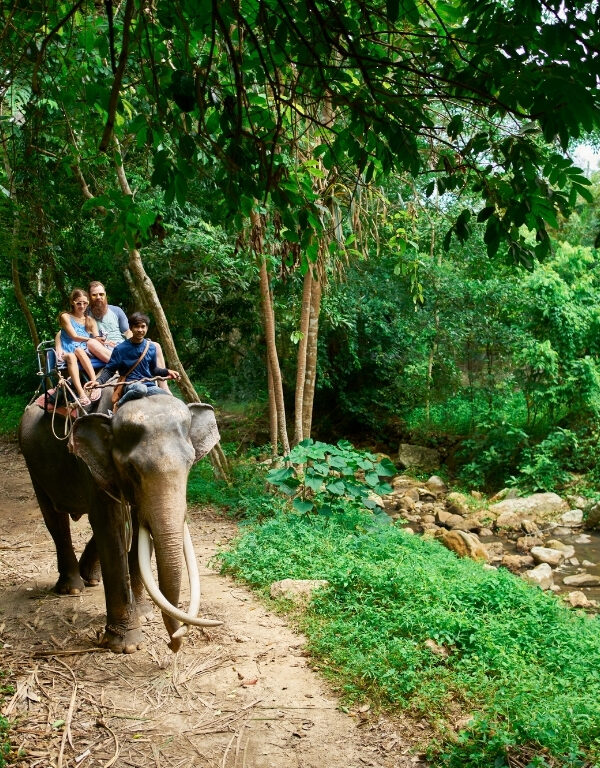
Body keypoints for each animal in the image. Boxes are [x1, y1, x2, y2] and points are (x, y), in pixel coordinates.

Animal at [18, 387, 222, 653]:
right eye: (133, 468)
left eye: (190, 463)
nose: (172, 644)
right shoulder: (90, 467)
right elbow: (109, 526)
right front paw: (126, 645)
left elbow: (138, 526)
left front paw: (144, 614)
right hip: (34, 467)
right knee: (55, 519)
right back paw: (72, 587)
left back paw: (90, 577)